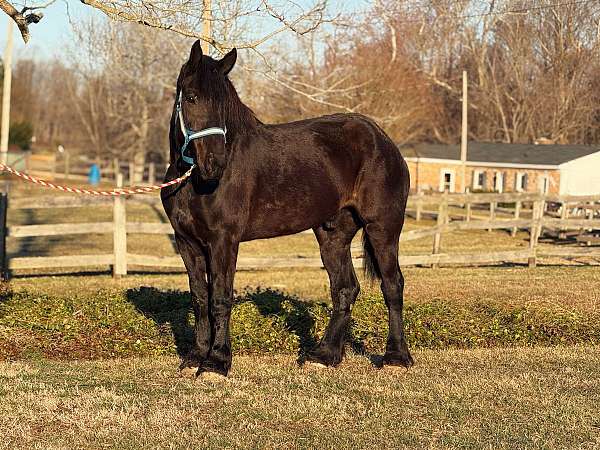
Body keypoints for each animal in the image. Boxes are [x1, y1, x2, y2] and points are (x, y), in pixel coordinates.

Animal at [161, 41, 412, 376]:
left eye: (224, 105)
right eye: (191, 97)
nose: (215, 164)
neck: (193, 183)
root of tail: (384, 141)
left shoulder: (223, 241)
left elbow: (220, 299)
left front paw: (216, 362)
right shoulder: (187, 243)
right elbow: (200, 299)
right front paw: (195, 357)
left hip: (382, 228)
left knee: (392, 285)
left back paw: (396, 357)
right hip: (333, 234)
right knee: (345, 288)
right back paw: (325, 355)